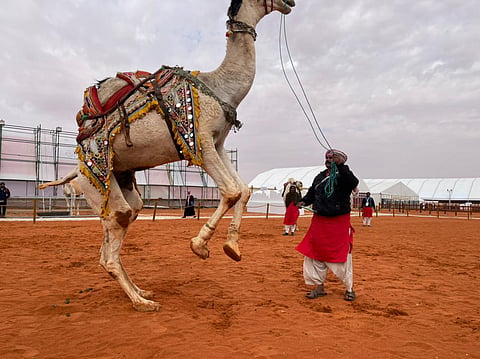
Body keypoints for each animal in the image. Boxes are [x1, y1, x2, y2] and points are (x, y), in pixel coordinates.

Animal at [39, 0, 294, 312]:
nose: (291, 3)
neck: (219, 87)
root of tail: (77, 167)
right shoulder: (201, 143)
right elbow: (232, 191)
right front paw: (200, 245)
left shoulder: (218, 143)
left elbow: (244, 190)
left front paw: (232, 247)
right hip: (95, 181)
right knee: (115, 234)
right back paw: (141, 302)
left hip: (117, 179)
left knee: (118, 229)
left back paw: (142, 291)